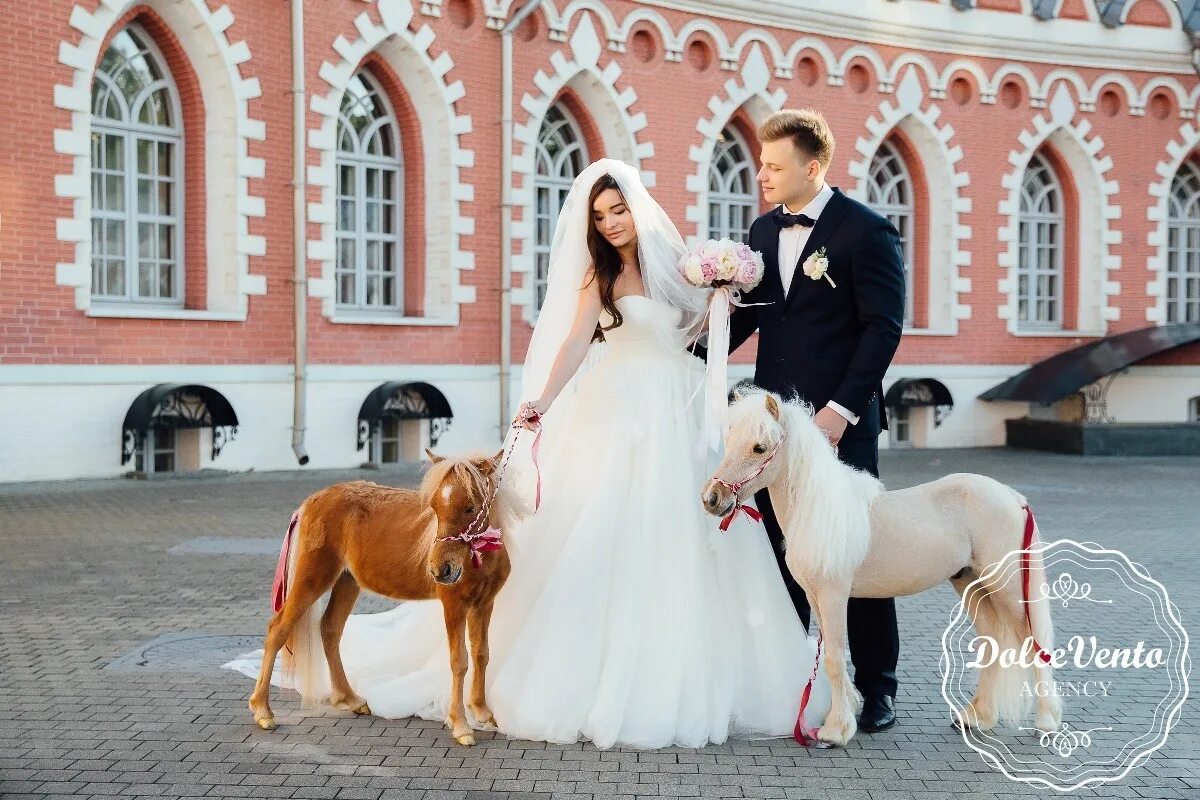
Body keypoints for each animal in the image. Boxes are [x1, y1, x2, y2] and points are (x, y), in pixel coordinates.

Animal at [248, 450, 516, 743]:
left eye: (470, 507)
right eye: (434, 507)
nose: (440, 570)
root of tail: (310, 503)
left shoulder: (484, 604)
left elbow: (481, 653)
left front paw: (481, 711)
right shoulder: (453, 605)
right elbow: (459, 661)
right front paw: (461, 726)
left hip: (347, 582)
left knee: (330, 629)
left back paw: (350, 699)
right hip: (312, 579)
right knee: (278, 629)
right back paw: (262, 711)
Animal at [700, 391, 1065, 748]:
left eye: (759, 447)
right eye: (729, 441)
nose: (711, 498)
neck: (818, 510)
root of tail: (1012, 496)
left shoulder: (834, 596)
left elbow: (834, 657)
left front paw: (835, 731)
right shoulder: (816, 597)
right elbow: (831, 655)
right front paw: (841, 714)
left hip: (1009, 589)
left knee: (1033, 640)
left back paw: (1046, 722)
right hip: (971, 584)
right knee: (992, 642)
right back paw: (975, 718)